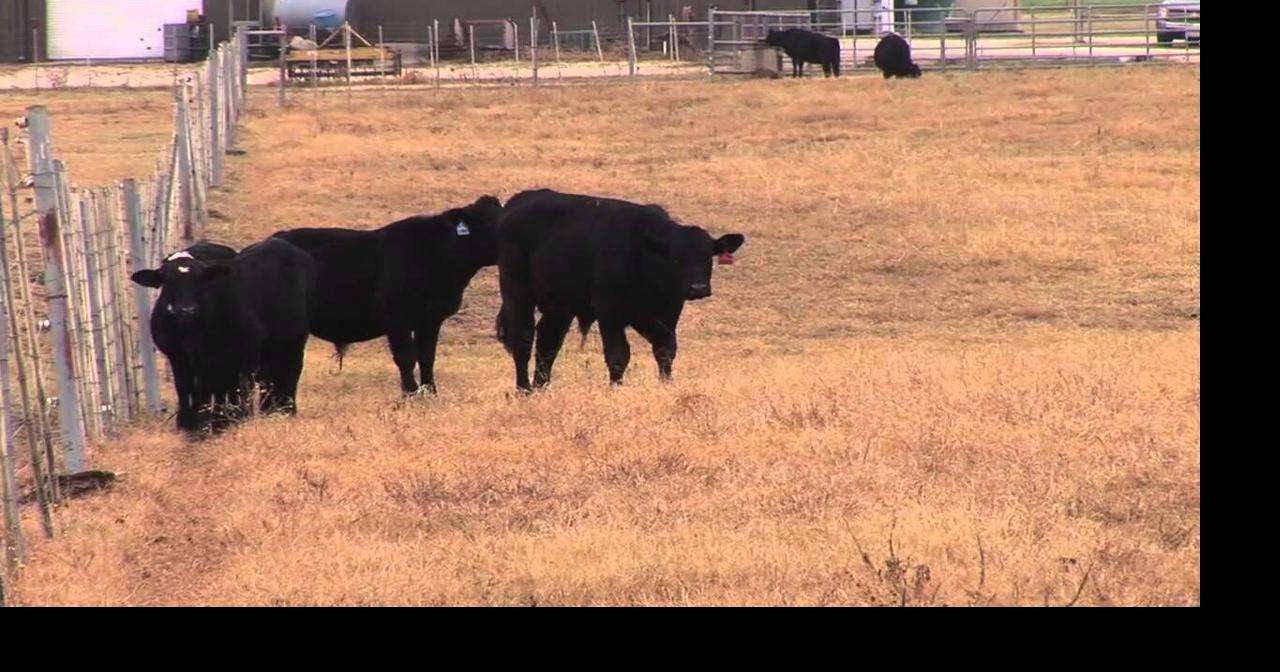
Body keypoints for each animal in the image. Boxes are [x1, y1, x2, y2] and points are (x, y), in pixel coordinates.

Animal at [131, 238, 316, 434]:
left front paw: (236, 419)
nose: (185, 310)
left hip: (293, 343)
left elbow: (241, 387)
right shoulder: (179, 357)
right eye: (167, 281)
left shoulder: (247, 347)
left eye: (199, 280)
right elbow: (185, 388)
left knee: (288, 375)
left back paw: (285, 411)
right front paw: (190, 425)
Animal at [271, 195, 503, 395]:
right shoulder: (396, 320)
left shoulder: (430, 320)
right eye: (488, 222)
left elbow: (427, 357)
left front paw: (431, 393)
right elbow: (406, 358)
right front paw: (410, 394)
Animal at [495, 188, 745, 392]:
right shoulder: (610, 312)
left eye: (707, 257)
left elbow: (665, 349)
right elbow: (618, 354)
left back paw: (542, 386)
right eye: (675, 259)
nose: (698, 288)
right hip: (517, 292)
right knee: (523, 340)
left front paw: (666, 384)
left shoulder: (664, 314)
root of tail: (518, 201)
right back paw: (524, 389)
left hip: (560, 306)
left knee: (548, 341)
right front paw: (616, 389)